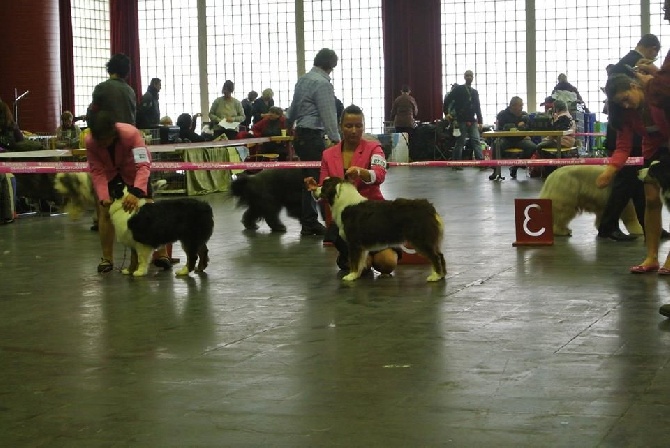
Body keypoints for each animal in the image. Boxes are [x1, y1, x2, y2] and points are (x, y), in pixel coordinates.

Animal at [318, 177, 448, 282]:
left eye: (323, 186)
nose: (315, 189)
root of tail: (430, 208)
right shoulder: (360, 246)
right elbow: (360, 261)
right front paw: (357, 275)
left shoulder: (354, 243)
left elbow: (354, 261)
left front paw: (351, 276)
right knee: (440, 254)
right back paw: (442, 275)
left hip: (421, 238)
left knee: (435, 256)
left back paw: (435, 276)